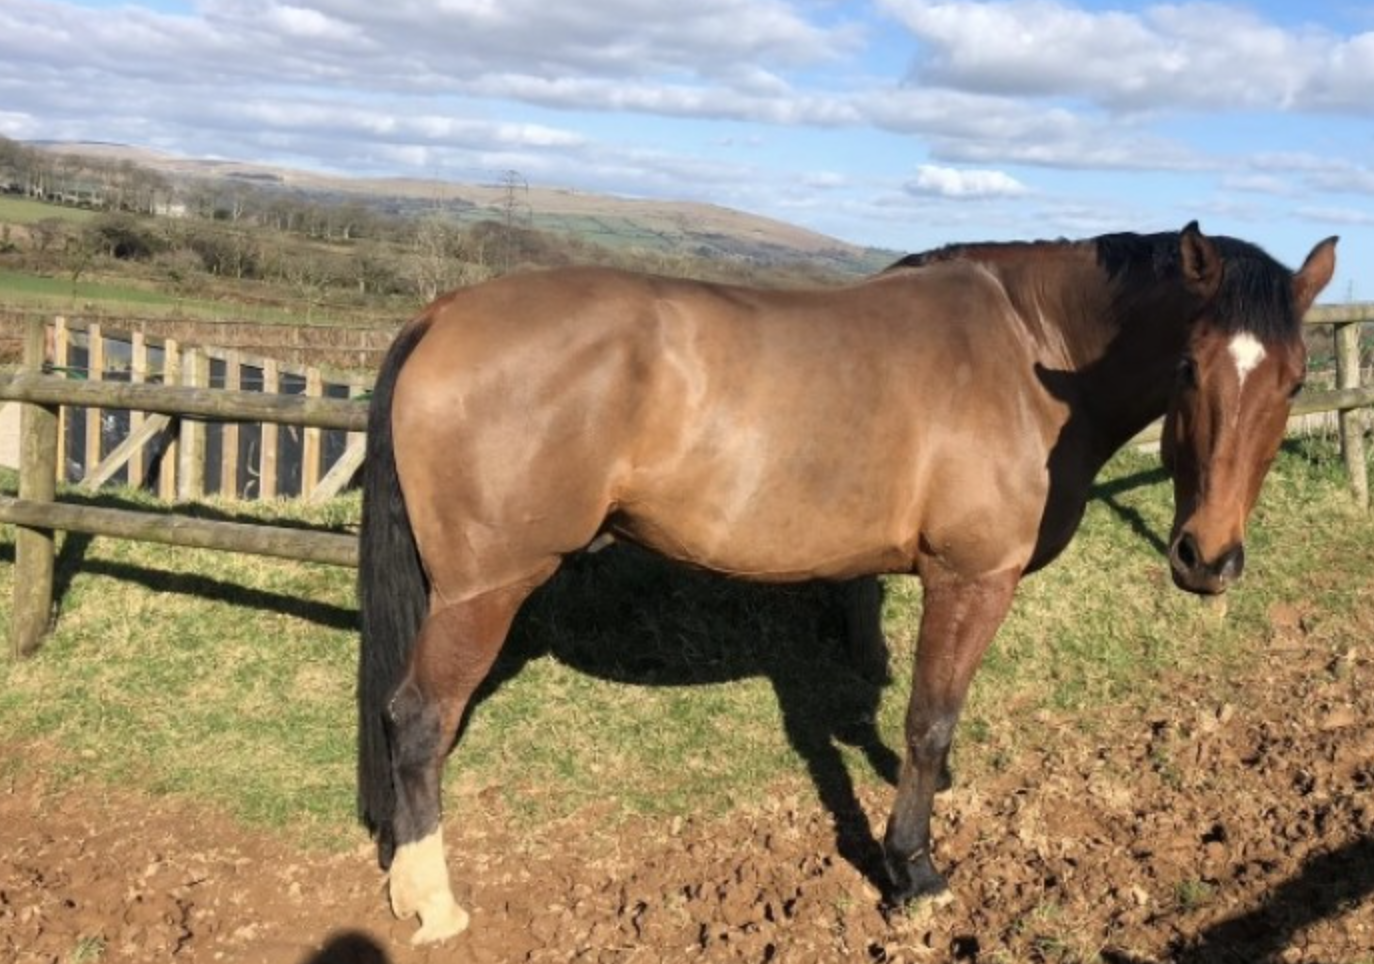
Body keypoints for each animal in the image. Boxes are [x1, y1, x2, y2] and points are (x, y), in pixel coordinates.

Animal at [356, 222, 1336, 943]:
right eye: (1189, 366)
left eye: (1294, 381)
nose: (1207, 558)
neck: (1031, 355)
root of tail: (445, 311)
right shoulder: (970, 580)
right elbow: (930, 721)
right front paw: (915, 870)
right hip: (485, 592)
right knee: (419, 720)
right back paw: (432, 901)